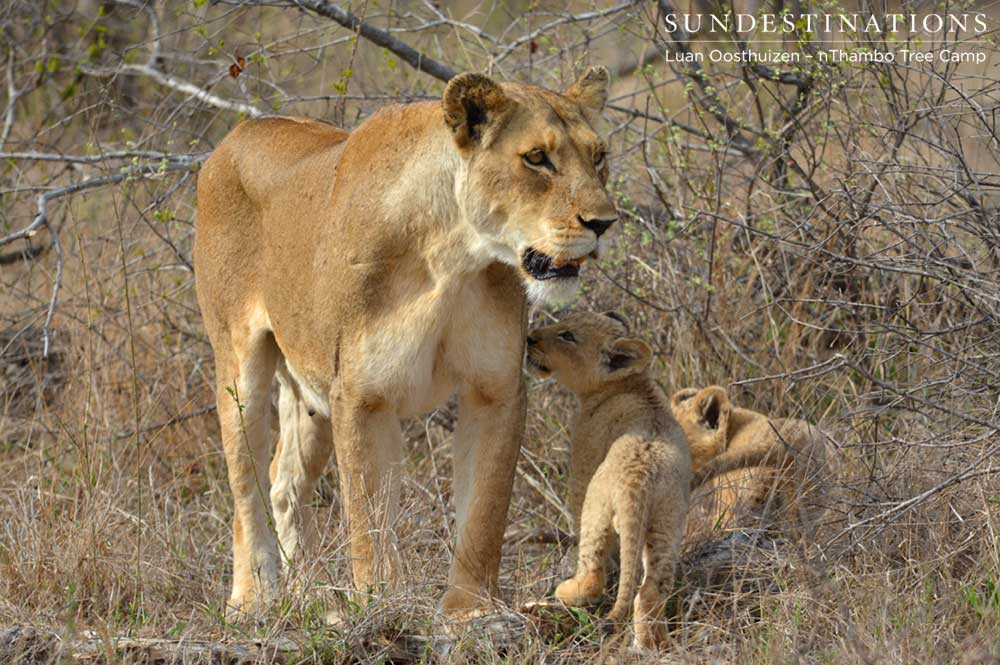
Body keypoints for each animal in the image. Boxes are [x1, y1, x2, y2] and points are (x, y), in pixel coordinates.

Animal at [194, 67, 618, 618]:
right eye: (536, 158)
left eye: (599, 156)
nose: (603, 223)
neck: (453, 256)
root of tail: (239, 132)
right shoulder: (361, 396)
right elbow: (370, 516)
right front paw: (381, 607)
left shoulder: (496, 389)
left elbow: (484, 513)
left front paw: (470, 612)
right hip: (239, 365)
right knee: (245, 483)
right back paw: (252, 597)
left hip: (311, 394)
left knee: (284, 481)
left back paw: (305, 594)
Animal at [525, 312, 691, 650]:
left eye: (567, 336)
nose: (529, 337)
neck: (632, 383)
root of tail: (639, 482)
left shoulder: (583, 459)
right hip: (667, 523)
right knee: (650, 590)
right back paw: (652, 645)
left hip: (596, 508)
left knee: (592, 575)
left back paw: (564, 592)